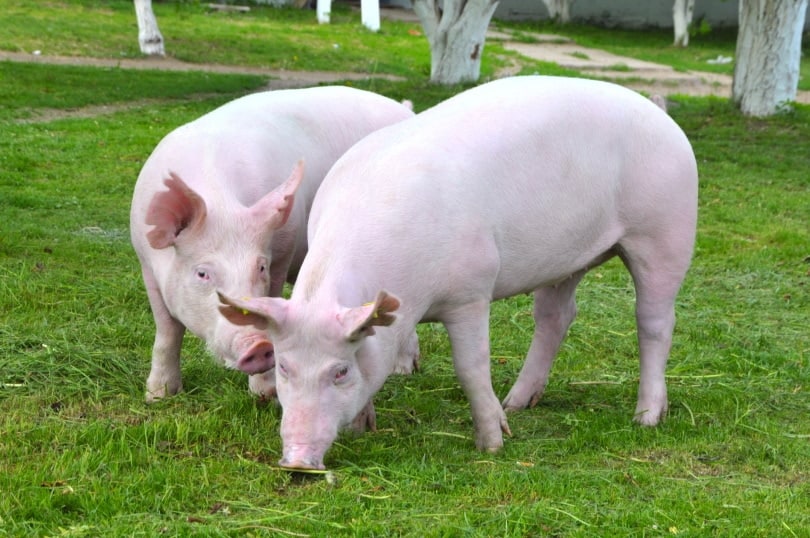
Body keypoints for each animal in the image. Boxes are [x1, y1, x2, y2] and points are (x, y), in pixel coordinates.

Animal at [130, 86, 415, 402]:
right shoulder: (146, 265)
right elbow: (167, 331)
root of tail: (403, 109)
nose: (258, 345)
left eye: (261, 267)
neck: (222, 206)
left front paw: (265, 395)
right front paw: (159, 396)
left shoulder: (282, 251)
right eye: (202, 273)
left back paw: (404, 371)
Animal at [219, 75, 699, 470]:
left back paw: (646, 418)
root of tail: (661, 115)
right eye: (284, 367)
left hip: (665, 231)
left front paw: (494, 445)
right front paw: (363, 427)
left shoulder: (471, 290)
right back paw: (519, 402)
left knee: (655, 321)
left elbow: (471, 366)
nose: (298, 461)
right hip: (568, 259)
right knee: (556, 316)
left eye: (339, 371)